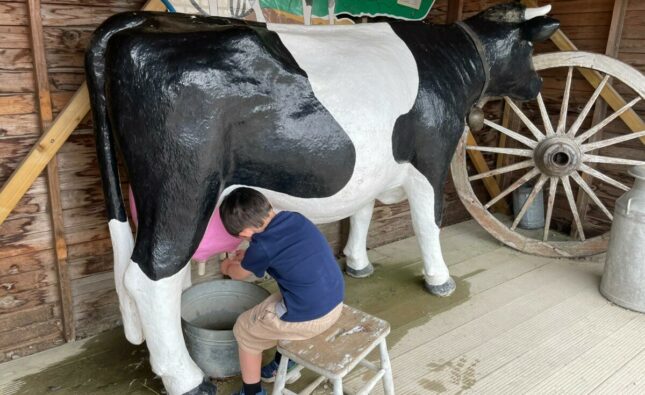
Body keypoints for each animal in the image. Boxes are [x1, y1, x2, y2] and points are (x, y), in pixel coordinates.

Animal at [85, 3, 560, 395]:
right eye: (529, 47)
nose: (538, 83)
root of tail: (141, 22)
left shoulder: (372, 168)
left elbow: (363, 212)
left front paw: (358, 263)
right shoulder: (432, 157)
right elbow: (430, 222)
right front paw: (439, 280)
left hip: (156, 194)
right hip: (183, 183)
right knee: (151, 275)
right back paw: (186, 379)